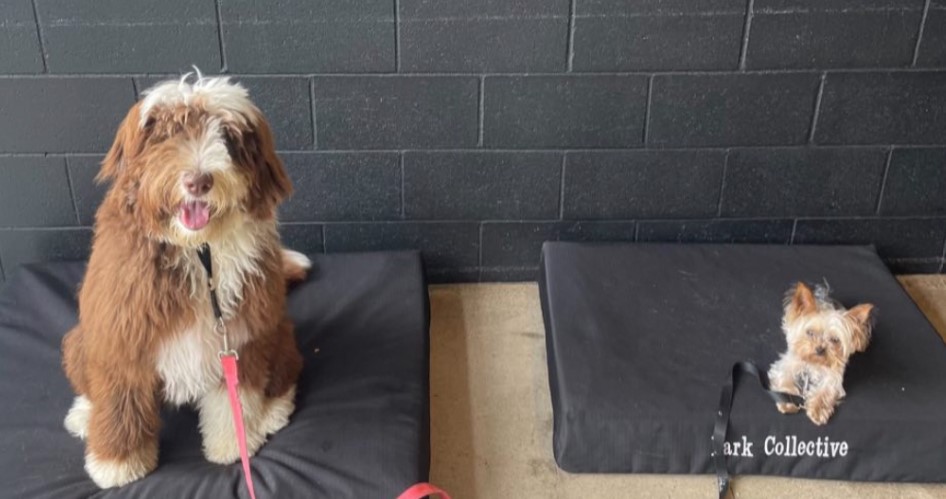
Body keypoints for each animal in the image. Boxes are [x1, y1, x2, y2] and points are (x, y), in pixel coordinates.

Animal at [60, 74, 310, 488]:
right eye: (163, 135)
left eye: (227, 137)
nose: (198, 181)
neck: (198, 252)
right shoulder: (120, 333)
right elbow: (119, 399)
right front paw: (117, 463)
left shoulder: (242, 335)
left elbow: (234, 397)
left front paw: (233, 443)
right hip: (82, 340)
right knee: (92, 386)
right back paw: (83, 413)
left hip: (276, 330)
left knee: (284, 369)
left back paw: (273, 410)